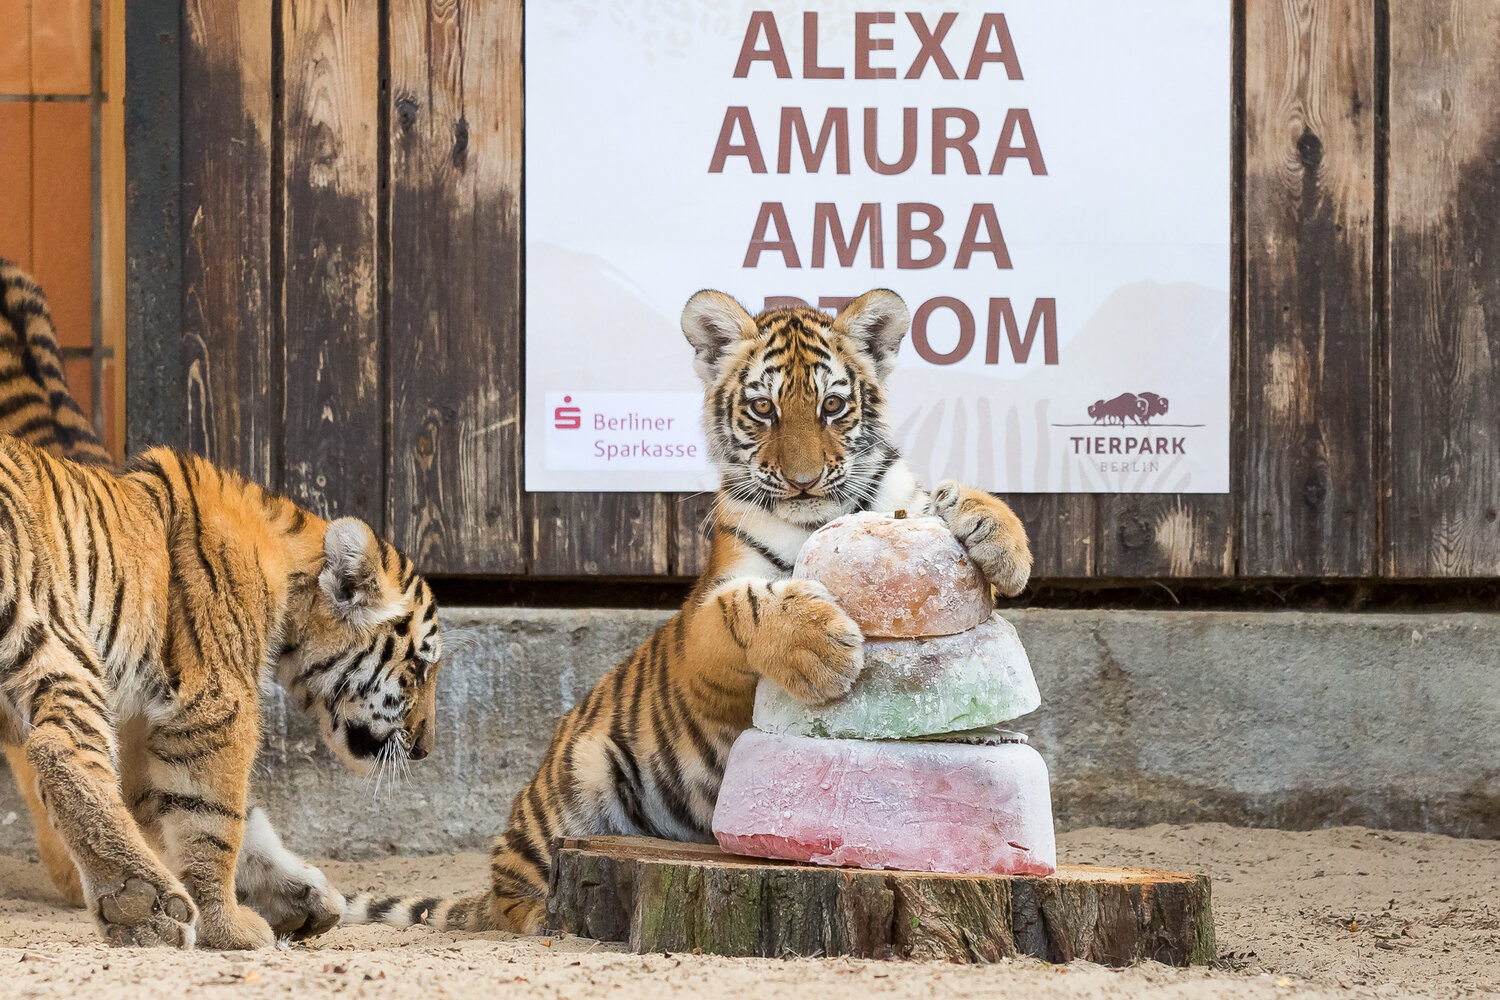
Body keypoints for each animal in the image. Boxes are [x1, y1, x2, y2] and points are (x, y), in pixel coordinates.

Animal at [0, 259, 444, 949]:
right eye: (420, 667)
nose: (424, 750)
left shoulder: (142, 724)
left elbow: (218, 818)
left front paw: (300, 897)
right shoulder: (213, 705)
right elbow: (216, 819)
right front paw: (228, 925)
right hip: (51, 625)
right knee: (57, 748)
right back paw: (141, 904)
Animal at [344, 287, 1032, 935]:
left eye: (833, 407)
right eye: (763, 408)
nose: (804, 481)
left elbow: (946, 499)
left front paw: (1004, 544)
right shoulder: (708, 617)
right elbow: (747, 607)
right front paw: (819, 643)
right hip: (575, 780)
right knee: (514, 892)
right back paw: (541, 917)